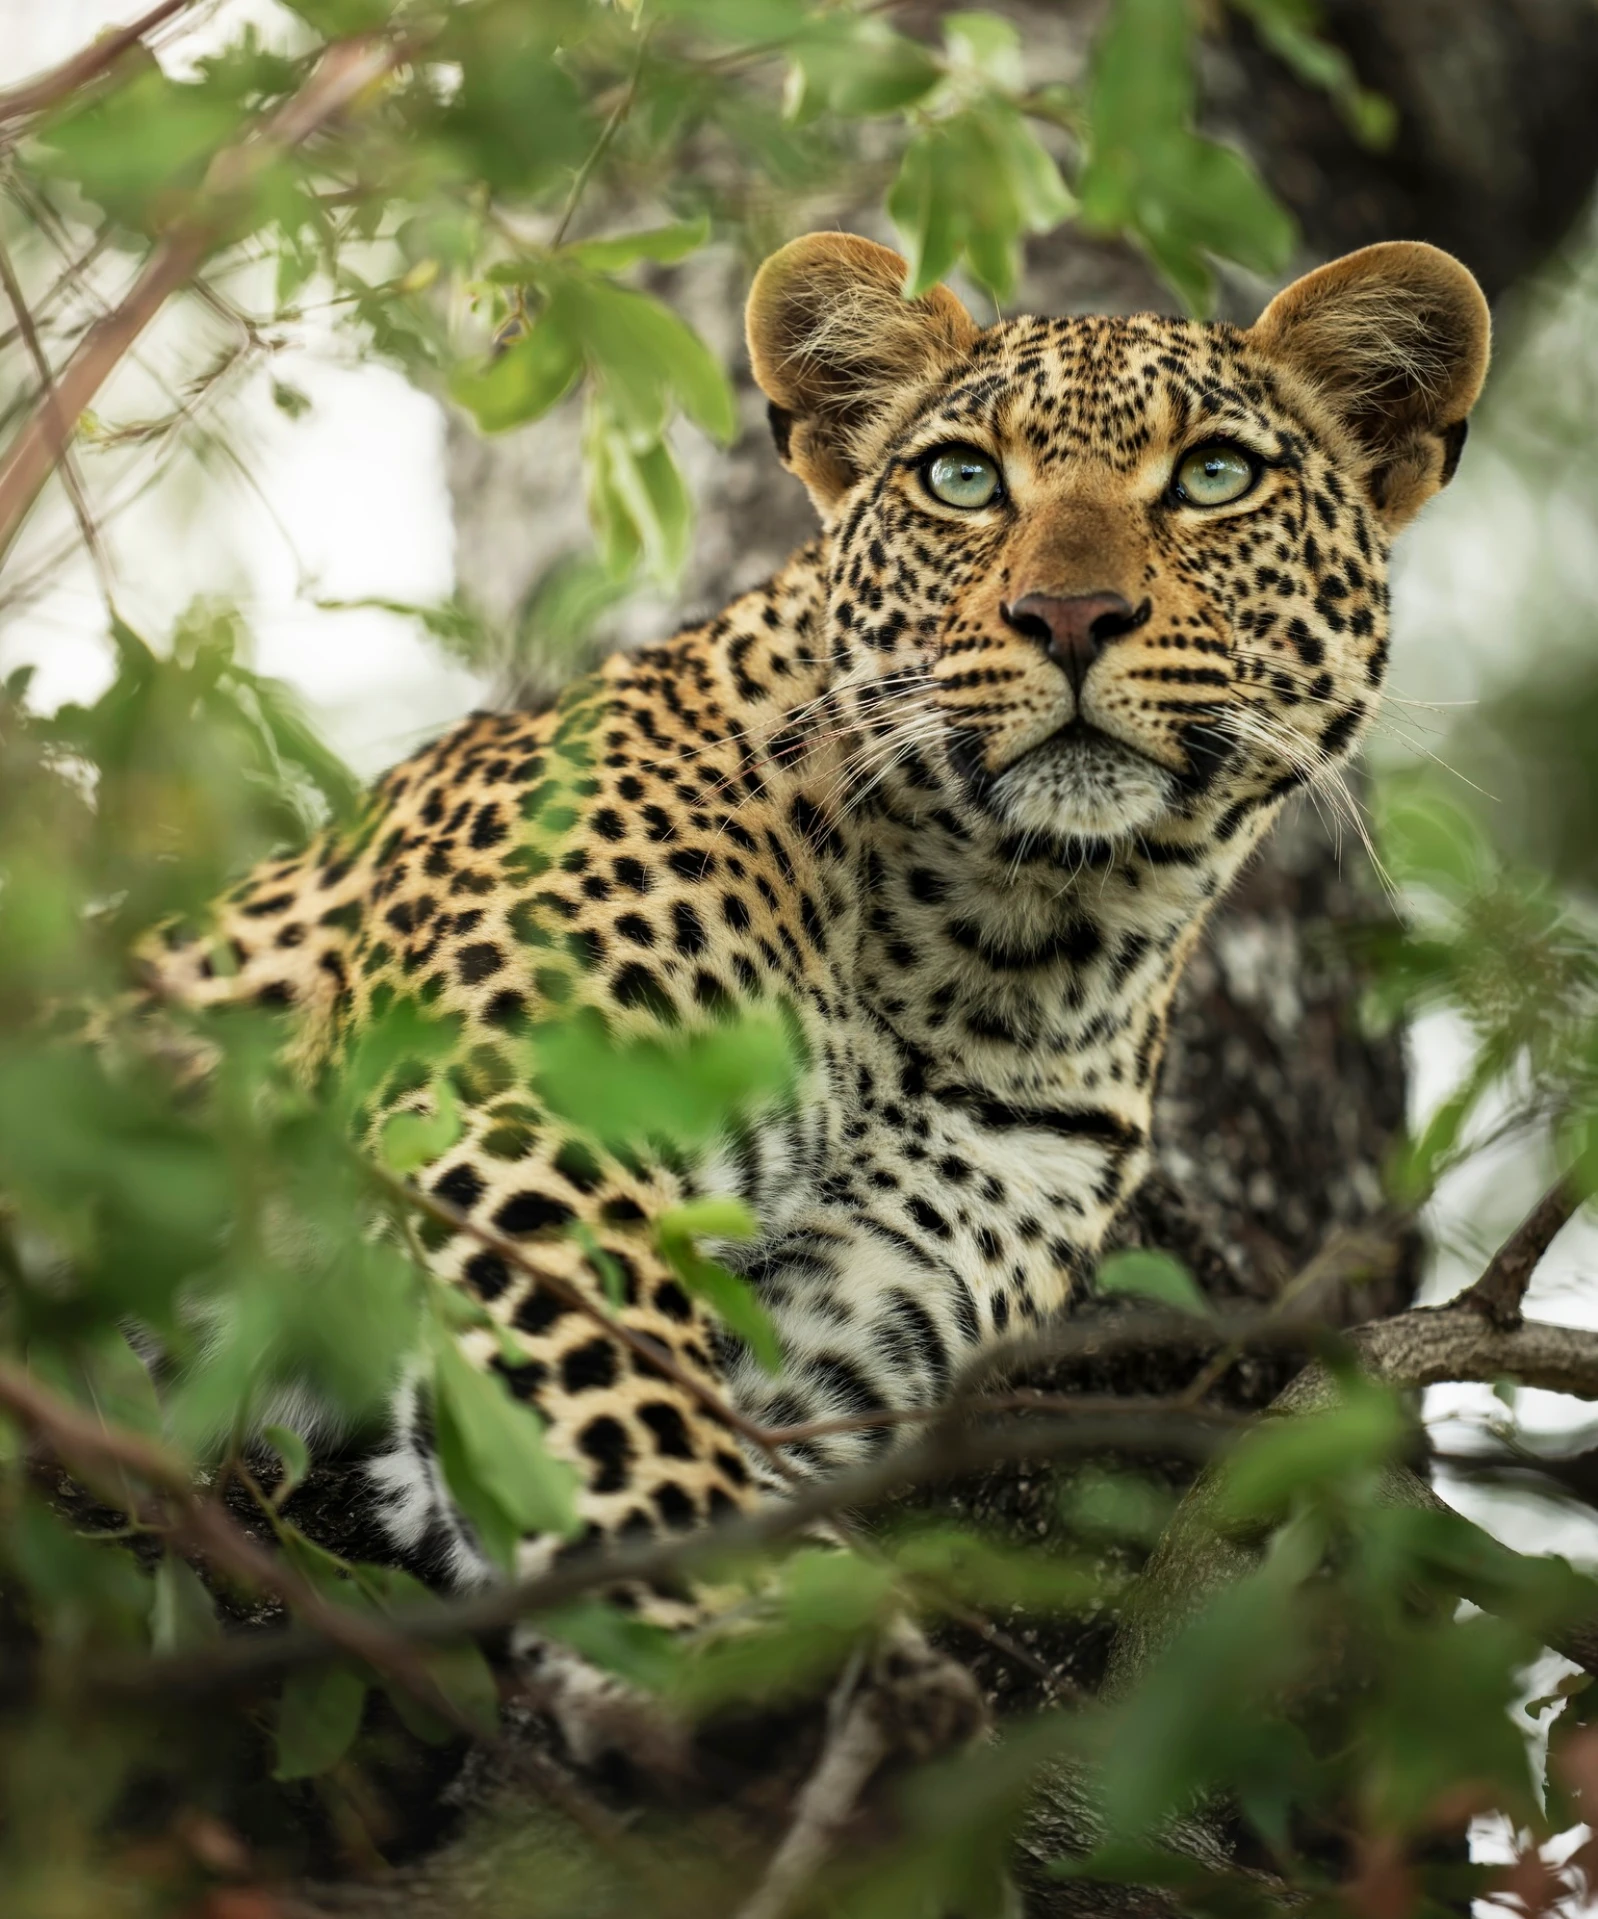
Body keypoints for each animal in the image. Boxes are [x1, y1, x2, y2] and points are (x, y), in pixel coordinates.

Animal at [136, 231, 1489, 1753]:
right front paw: (709, 1631)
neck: (1007, 945)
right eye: (960, 476)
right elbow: (624, 1389)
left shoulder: (837, 1326)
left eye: (1211, 475)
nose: (1069, 614)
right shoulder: (512, 1121)